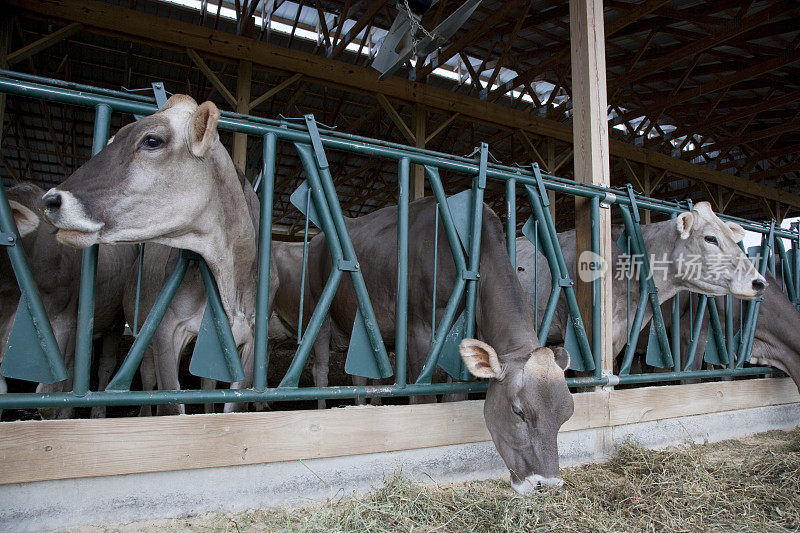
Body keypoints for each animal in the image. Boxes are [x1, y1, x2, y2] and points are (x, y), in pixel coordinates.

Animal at [40, 93, 278, 414]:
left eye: (152, 141)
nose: (51, 200)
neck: (231, 280)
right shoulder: (166, 331)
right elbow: (170, 405)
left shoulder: (252, 339)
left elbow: (234, 405)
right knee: (146, 376)